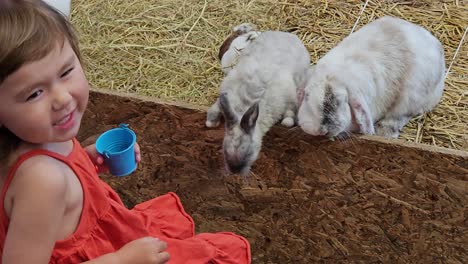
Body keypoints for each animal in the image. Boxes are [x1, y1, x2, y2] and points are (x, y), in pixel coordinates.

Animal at [206, 27, 308, 174]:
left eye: (249, 152)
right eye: (225, 150)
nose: (234, 171)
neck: (243, 106)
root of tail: (289, 35)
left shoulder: (289, 97)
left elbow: (289, 113)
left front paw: (286, 122)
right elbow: (216, 106)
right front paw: (210, 123)